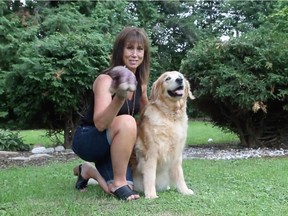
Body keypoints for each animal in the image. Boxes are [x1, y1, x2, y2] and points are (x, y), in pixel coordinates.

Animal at [133, 71, 196, 199]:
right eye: (167, 78)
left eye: (181, 76)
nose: (179, 80)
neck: (171, 115)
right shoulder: (151, 153)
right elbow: (150, 175)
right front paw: (151, 194)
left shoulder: (177, 153)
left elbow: (180, 174)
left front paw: (184, 190)